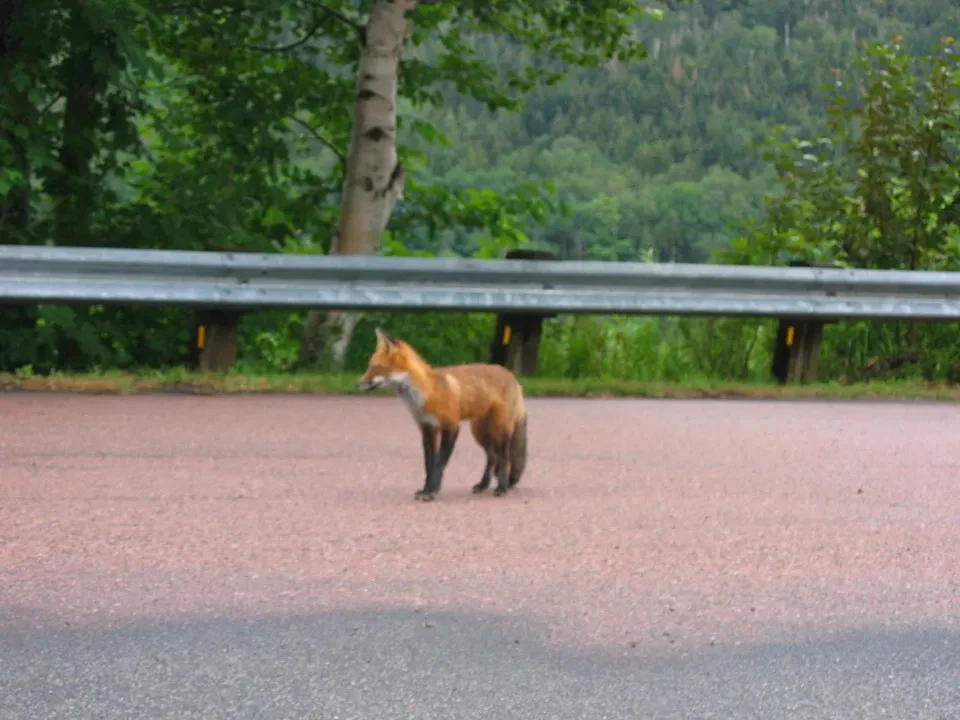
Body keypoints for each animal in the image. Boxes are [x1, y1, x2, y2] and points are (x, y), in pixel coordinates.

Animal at [357, 327, 528, 502]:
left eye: (375, 367)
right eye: (370, 366)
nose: (358, 384)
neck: (425, 393)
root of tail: (511, 375)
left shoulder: (451, 427)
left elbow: (439, 464)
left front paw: (432, 491)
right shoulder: (428, 430)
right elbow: (429, 465)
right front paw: (426, 489)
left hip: (499, 430)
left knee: (505, 460)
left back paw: (502, 487)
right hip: (480, 433)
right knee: (492, 458)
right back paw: (483, 485)